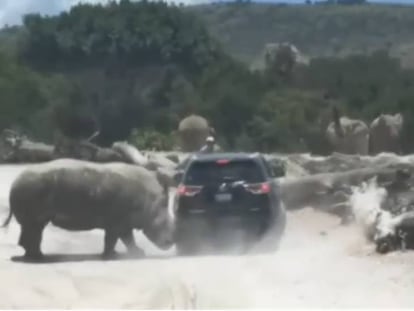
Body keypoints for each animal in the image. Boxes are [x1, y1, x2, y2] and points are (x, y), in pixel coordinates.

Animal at [1, 160, 176, 262]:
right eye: (165, 223)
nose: (171, 243)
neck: (151, 202)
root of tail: (14, 182)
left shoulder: (119, 221)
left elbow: (120, 238)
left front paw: (123, 254)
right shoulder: (118, 220)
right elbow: (119, 238)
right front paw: (132, 255)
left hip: (29, 189)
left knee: (34, 227)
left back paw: (36, 256)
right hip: (31, 189)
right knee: (34, 227)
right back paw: (38, 258)